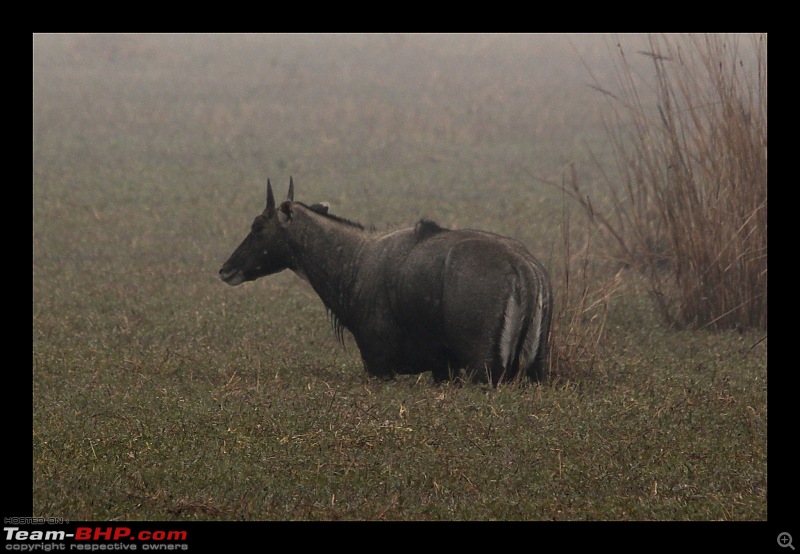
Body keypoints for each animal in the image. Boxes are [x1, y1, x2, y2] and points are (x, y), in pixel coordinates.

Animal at [222, 178, 552, 384]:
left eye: (258, 226)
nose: (226, 269)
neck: (356, 260)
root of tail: (524, 267)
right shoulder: (441, 368)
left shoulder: (379, 365)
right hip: (532, 369)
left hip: (481, 368)